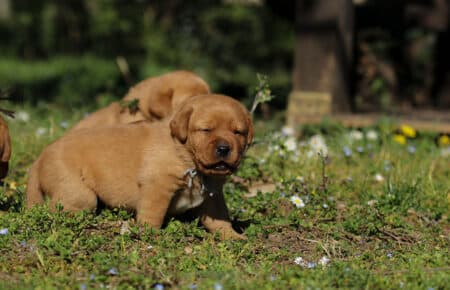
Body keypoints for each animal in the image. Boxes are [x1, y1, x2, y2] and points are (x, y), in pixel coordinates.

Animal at [26, 94, 253, 239]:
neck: (187, 158)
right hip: (78, 192)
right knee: (58, 210)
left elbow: (220, 219)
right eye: (206, 130)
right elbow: (153, 214)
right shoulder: (158, 186)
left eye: (238, 132)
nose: (224, 148)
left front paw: (233, 236)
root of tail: (40, 157)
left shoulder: (214, 195)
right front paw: (151, 236)